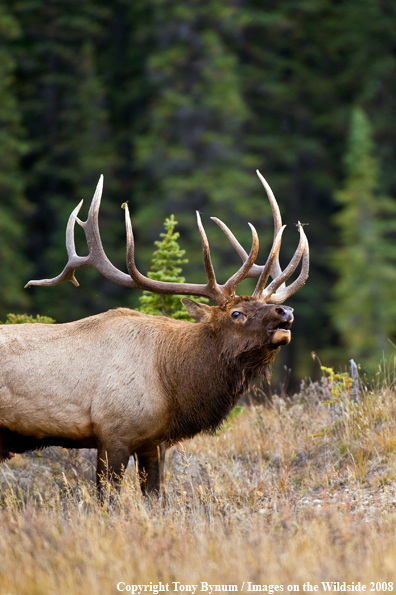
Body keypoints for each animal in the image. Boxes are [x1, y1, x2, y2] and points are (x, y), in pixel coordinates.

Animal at [0, 170, 310, 496]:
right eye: (236, 313)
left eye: (265, 304)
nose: (285, 312)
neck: (172, 384)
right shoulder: (114, 433)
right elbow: (107, 498)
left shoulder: (152, 441)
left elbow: (155, 495)